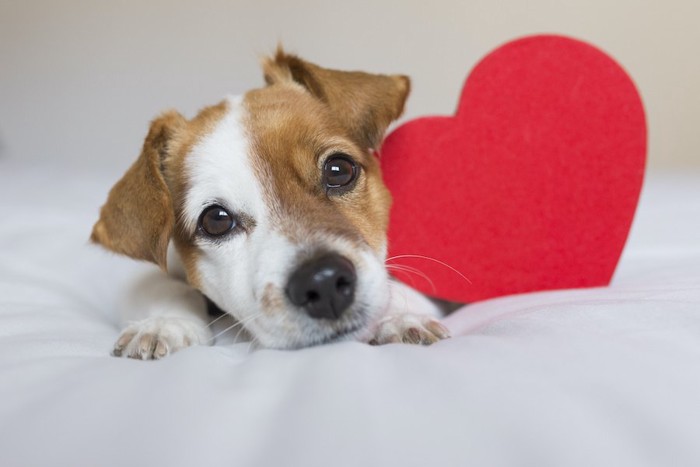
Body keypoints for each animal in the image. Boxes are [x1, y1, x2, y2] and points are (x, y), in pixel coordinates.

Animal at [90, 49, 452, 358]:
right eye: (216, 220)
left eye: (339, 170)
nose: (323, 282)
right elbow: (160, 284)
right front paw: (166, 323)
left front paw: (399, 318)